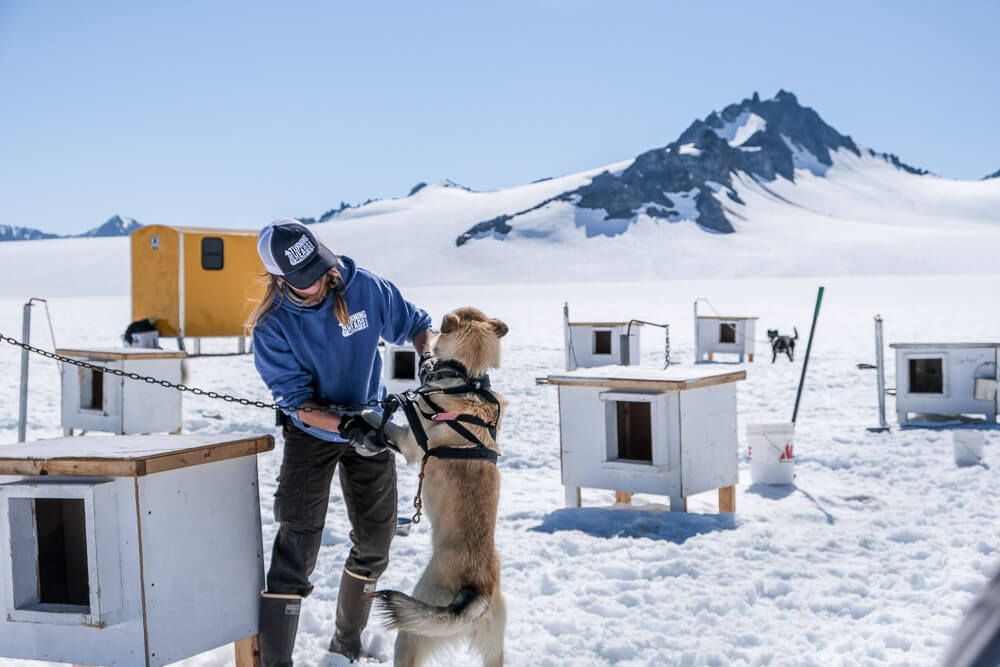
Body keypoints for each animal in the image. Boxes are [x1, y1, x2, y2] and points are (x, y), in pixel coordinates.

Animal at [378, 310, 512, 667]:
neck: (468, 381)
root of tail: (476, 589)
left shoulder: (410, 443)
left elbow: (387, 423)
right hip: (495, 649)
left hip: (412, 632)